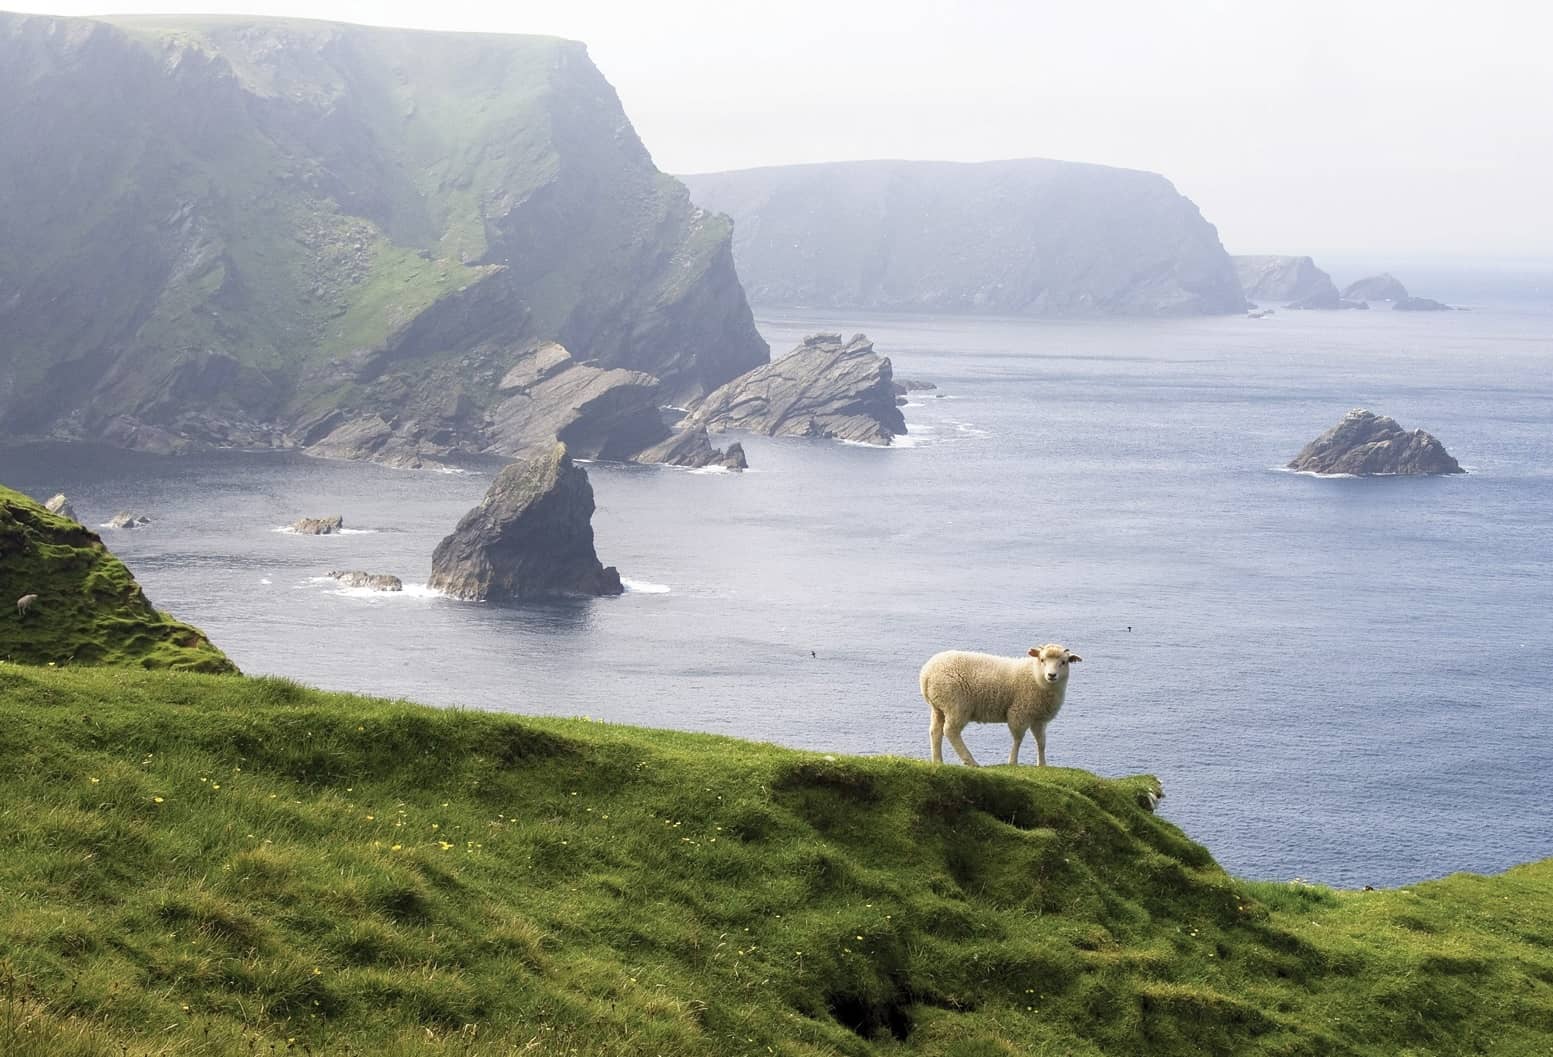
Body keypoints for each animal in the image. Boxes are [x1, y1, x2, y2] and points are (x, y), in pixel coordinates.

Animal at [919, 642, 1080, 766]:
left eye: (1064, 662)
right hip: (956, 705)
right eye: (1042, 659)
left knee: (935, 731)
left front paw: (1042, 765)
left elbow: (1041, 742)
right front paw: (1012, 762)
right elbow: (1018, 739)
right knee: (950, 731)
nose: (1052, 675)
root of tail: (926, 673)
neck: (1035, 677)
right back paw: (971, 761)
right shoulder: (1019, 712)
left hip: (939, 706)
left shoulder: (1038, 718)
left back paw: (938, 761)